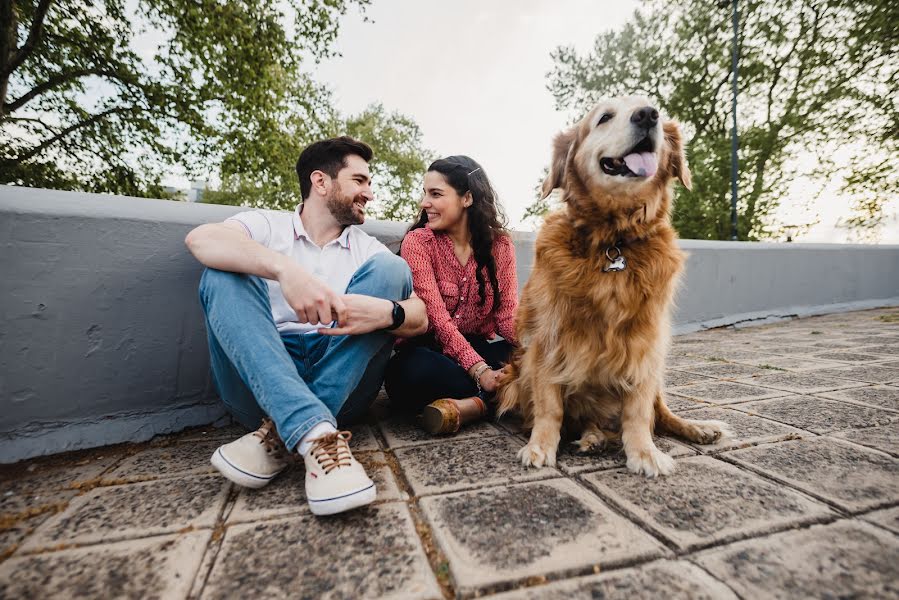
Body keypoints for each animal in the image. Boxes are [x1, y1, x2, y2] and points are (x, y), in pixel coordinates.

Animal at [500, 96, 732, 476]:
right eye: (604, 117)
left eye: (654, 109)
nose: (648, 116)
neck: (614, 242)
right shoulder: (548, 340)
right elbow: (550, 407)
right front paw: (540, 447)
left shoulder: (644, 343)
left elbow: (637, 413)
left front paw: (644, 452)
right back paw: (593, 437)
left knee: (659, 413)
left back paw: (696, 429)